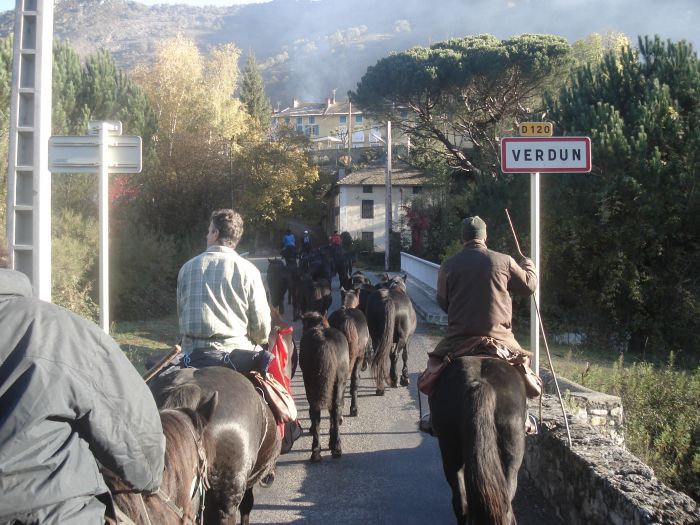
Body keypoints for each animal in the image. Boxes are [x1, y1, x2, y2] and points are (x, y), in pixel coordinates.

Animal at [300, 310, 348, 460]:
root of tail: (324, 342)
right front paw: (332, 442)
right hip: (339, 381)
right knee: (335, 408)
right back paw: (335, 447)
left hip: (311, 383)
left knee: (316, 410)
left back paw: (317, 450)